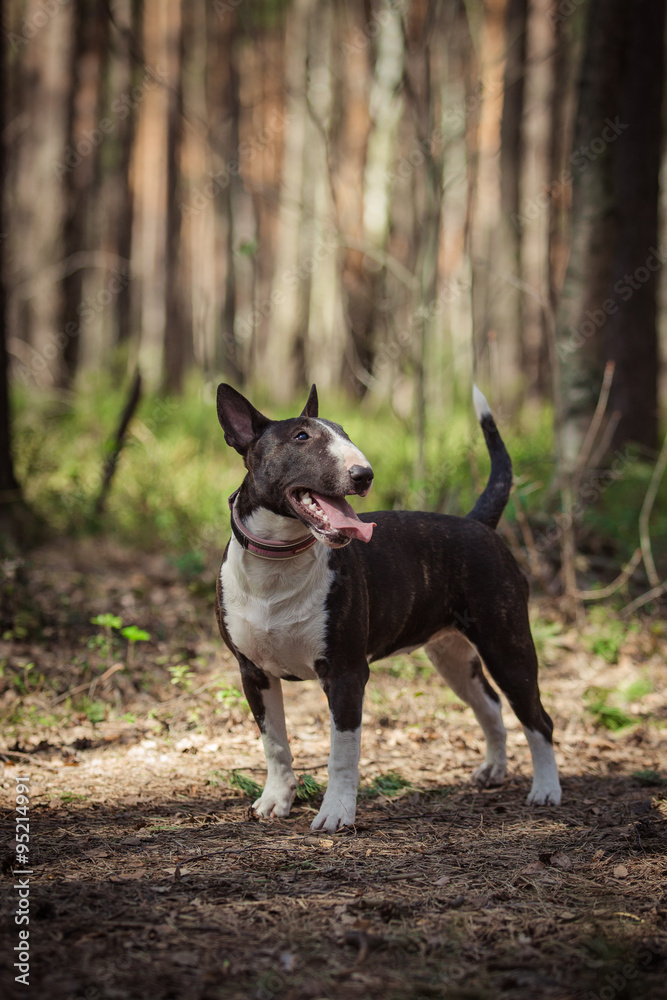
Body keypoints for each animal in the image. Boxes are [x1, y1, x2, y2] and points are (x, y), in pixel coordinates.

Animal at [217, 384, 560, 836]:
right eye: (301, 437)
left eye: (345, 433)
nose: (364, 475)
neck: (278, 565)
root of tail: (478, 523)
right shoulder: (253, 673)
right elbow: (274, 743)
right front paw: (275, 800)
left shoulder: (346, 674)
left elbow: (342, 753)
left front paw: (336, 813)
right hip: (451, 656)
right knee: (490, 704)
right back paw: (493, 769)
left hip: (507, 645)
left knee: (537, 718)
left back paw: (546, 789)